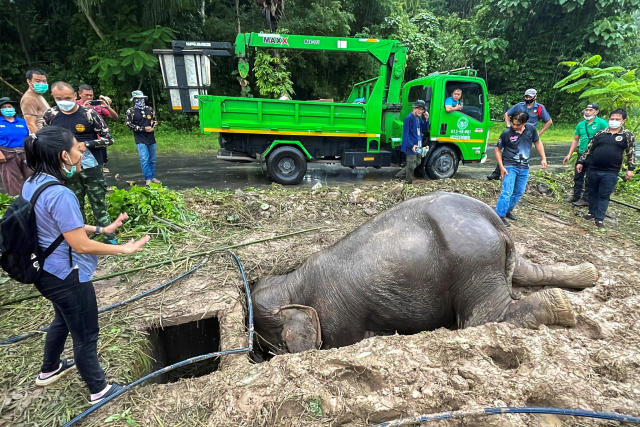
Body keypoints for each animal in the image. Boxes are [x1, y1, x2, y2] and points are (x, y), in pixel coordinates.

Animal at [251, 193, 600, 354]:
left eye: (275, 347)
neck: (293, 280)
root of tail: (493, 218)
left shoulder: (338, 317)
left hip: (473, 263)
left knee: (482, 318)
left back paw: (562, 307)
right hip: (492, 257)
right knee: (528, 272)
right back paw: (589, 275)